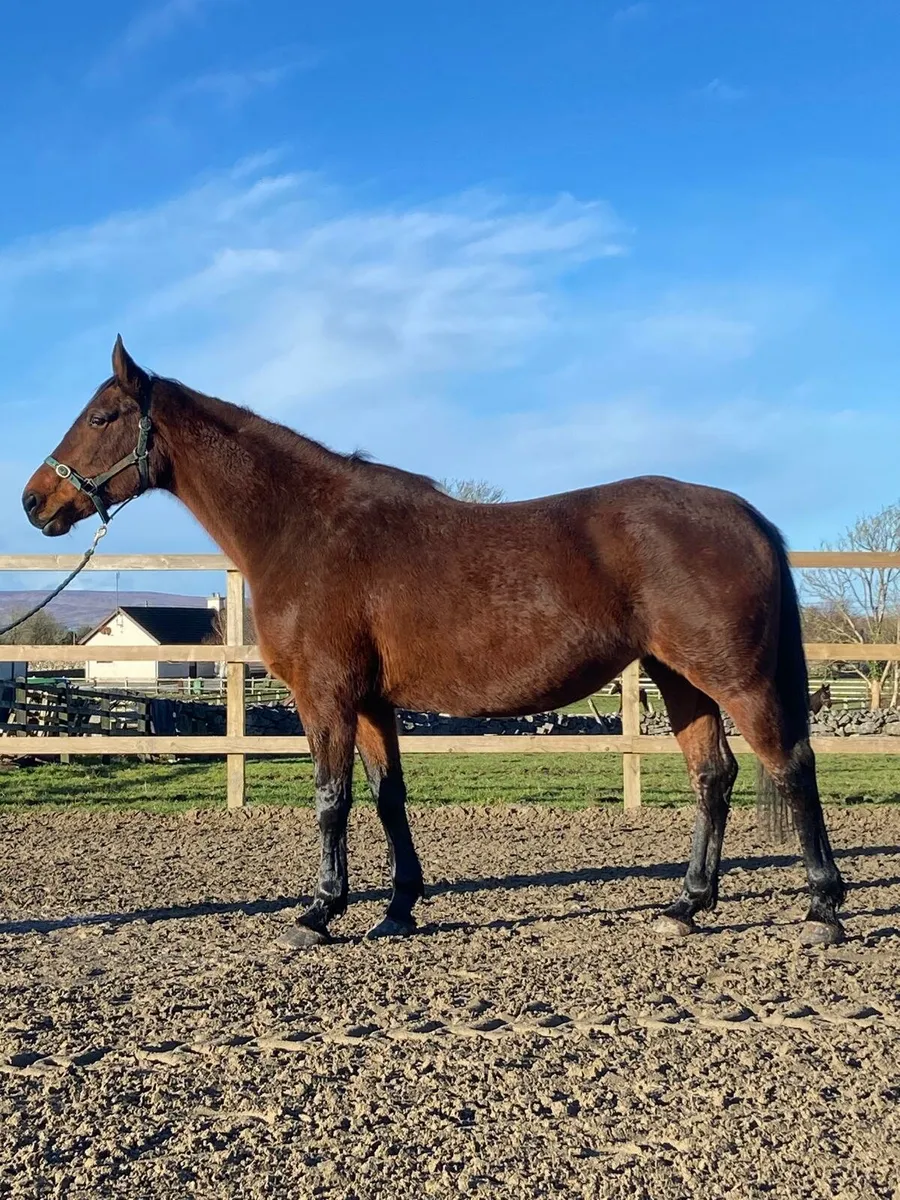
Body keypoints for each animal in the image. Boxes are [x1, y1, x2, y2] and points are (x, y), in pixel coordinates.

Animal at [21, 337, 847, 948]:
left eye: (101, 415)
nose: (34, 500)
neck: (307, 529)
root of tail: (745, 515)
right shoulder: (372, 703)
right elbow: (388, 797)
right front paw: (397, 909)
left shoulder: (325, 696)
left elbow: (331, 799)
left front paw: (319, 912)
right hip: (680, 679)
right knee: (714, 776)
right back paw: (687, 905)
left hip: (736, 678)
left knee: (791, 767)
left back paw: (822, 911)